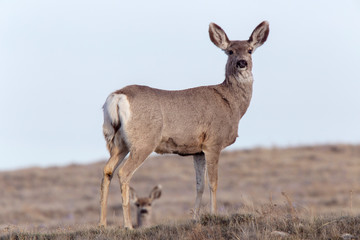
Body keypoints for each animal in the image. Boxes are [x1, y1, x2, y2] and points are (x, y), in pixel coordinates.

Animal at [100, 21, 268, 229]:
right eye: (229, 51)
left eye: (250, 50)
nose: (242, 62)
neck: (232, 104)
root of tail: (117, 97)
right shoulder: (213, 142)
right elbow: (213, 182)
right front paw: (213, 215)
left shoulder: (197, 150)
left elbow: (199, 185)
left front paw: (195, 218)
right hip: (144, 141)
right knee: (123, 173)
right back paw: (128, 225)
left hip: (117, 142)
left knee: (107, 171)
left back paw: (102, 224)